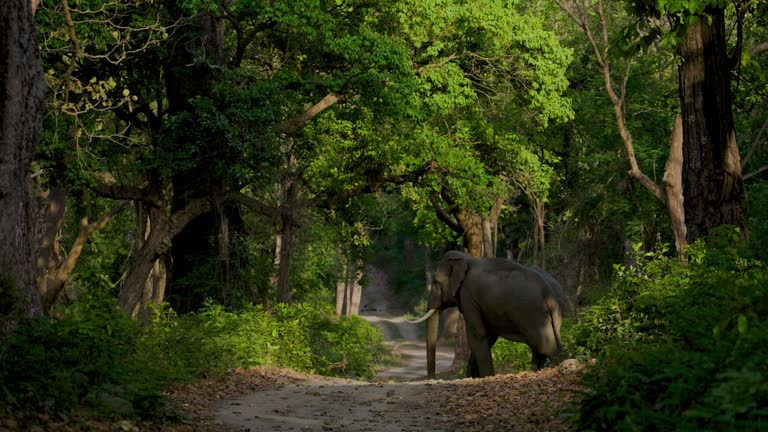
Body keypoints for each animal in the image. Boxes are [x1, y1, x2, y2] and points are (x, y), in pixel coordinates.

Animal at [408, 250, 564, 378]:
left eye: (435, 282)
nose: (432, 378)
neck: (468, 259)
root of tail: (549, 295)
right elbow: (488, 336)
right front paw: (471, 378)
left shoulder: (468, 296)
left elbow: (477, 335)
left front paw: (485, 377)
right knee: (540, 347)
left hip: (532, 314)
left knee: (545, 346)